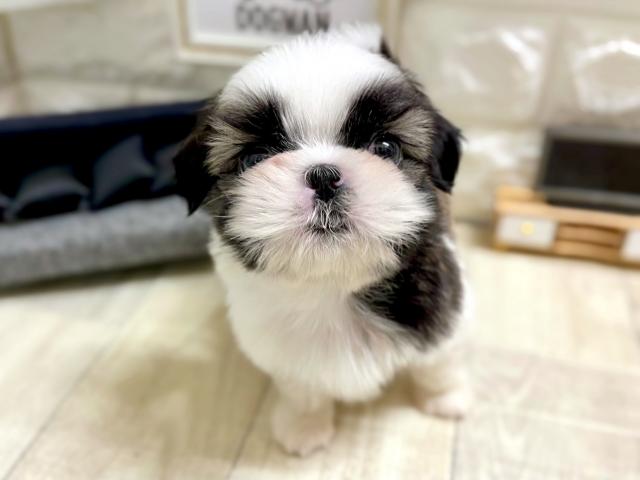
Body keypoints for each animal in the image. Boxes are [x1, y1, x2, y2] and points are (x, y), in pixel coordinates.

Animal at [174, 24, 471, 456]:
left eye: (385, 148)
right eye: (253, 158)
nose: (324, 176)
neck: (332, 285)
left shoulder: (445, 313)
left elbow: (439, 363)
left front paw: (445, 400)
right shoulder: (286, 354)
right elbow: (304, 392)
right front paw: (304, 429)